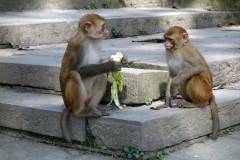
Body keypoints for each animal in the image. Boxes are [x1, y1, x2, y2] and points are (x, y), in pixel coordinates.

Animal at [59, 13, 127, 147]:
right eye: (103, 26)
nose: (107, 30)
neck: (89, 41)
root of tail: (67, 104)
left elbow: (99, 64)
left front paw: (121, 60)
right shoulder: (77, 46)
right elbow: (76, 70)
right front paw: (110, 65)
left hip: (88, 97)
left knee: (101, 76)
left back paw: (95, 107)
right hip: (72, 99)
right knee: (74, 75)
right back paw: (80, 112)